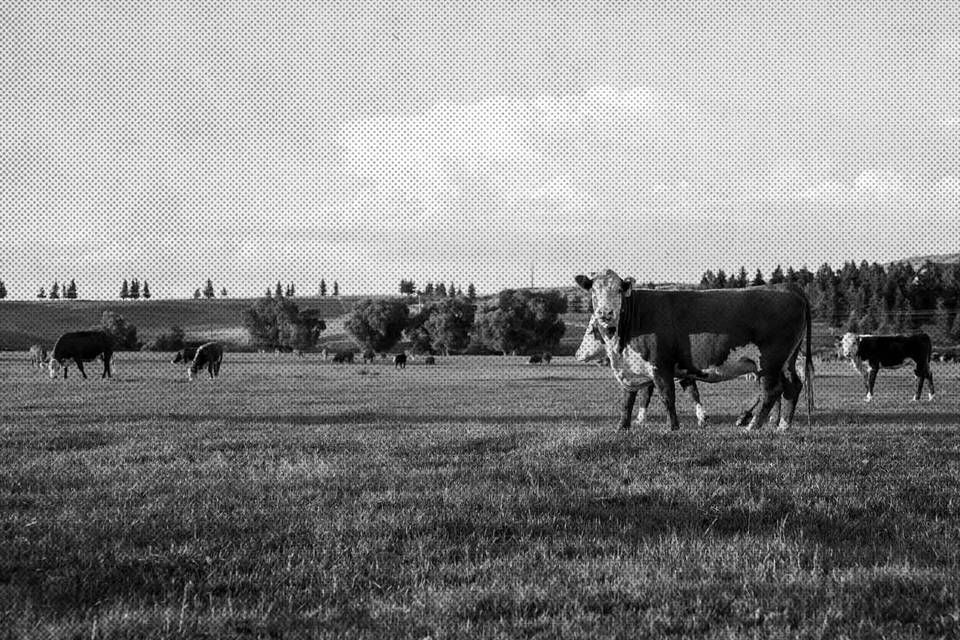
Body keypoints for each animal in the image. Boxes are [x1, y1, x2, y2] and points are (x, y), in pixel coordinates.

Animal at [572, 272, 812, 432]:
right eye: (594, 290)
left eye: (619, 290)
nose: (605, 313)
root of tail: (787, 287)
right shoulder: (630, 368)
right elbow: (627, 399)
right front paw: (622, 427)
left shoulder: (661, 365)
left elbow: (667, 396)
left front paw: (672, 428)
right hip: (786, 360)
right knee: (792, 386)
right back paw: (782, 426)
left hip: (769, 360)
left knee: (772, 390)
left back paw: (752, 425)